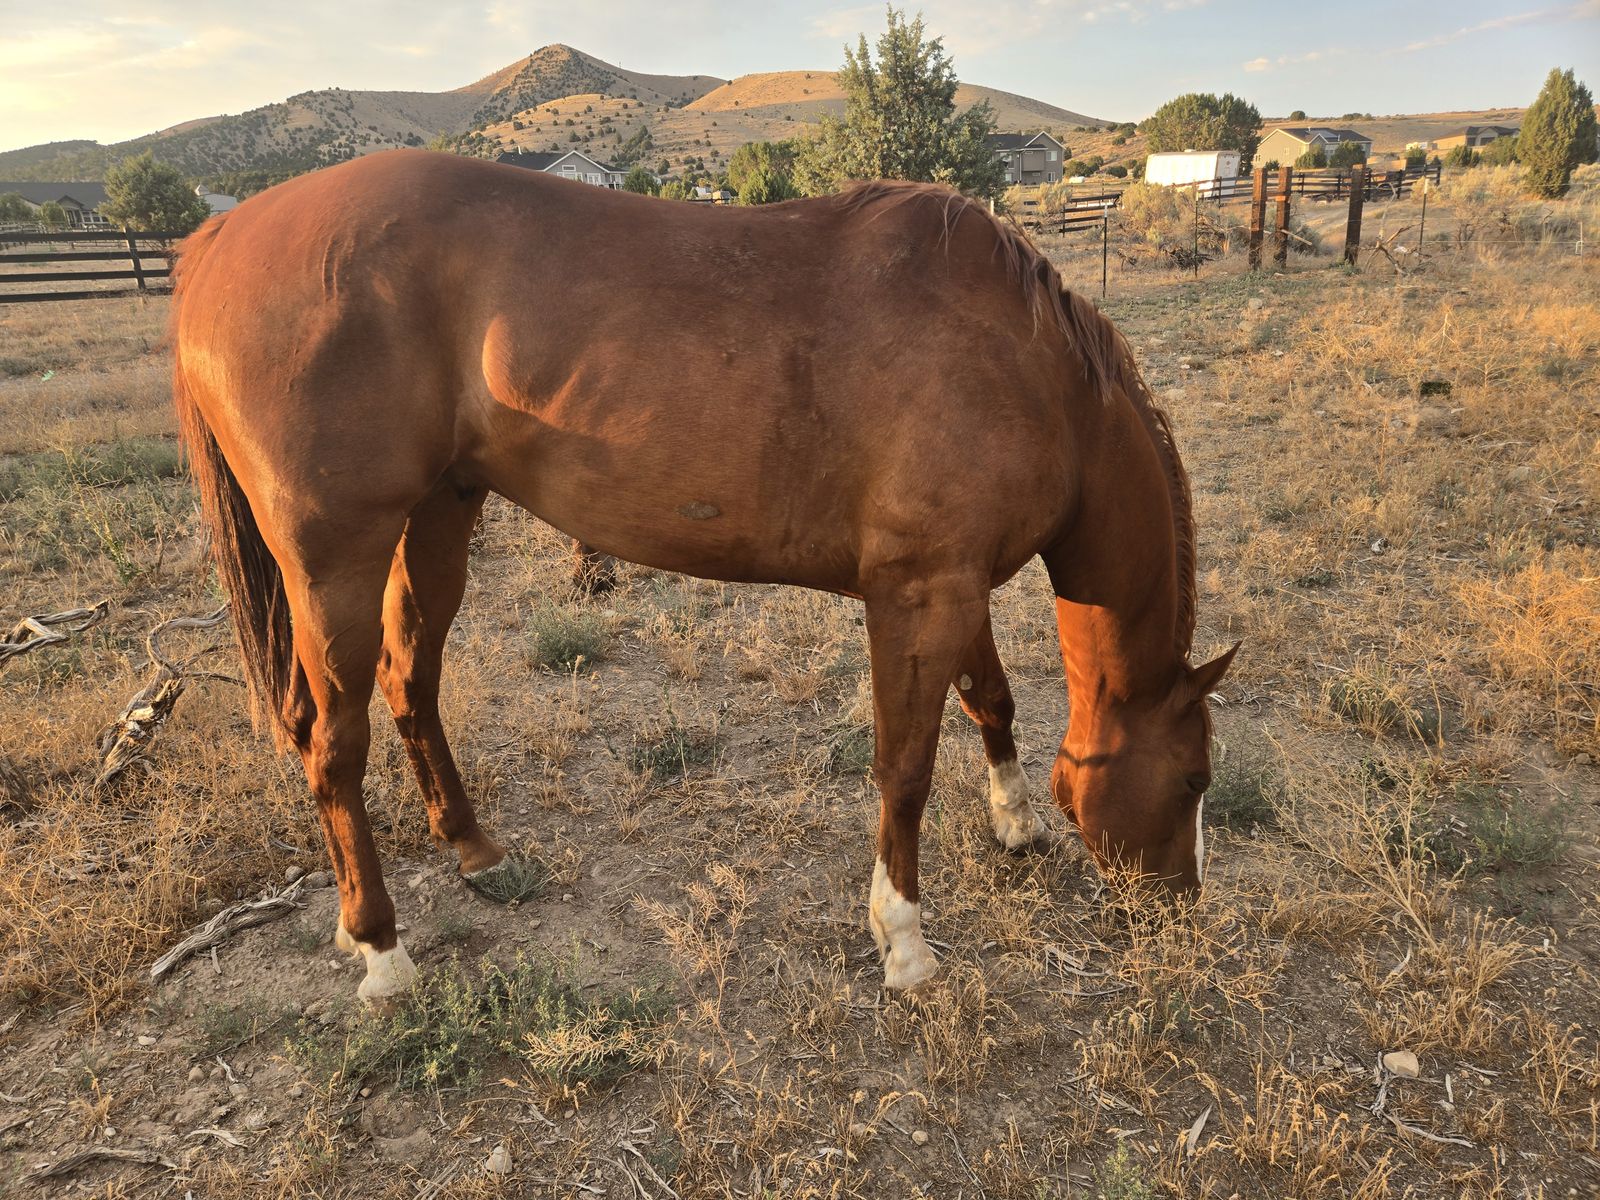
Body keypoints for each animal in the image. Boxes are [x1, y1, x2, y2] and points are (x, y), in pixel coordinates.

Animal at [170, 150, 1236, 1002]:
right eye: (1193, 779)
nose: (1179, 905)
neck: (1029, 368)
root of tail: (219, 237)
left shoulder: (952, 583)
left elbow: (993, 701)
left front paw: (1015, 821)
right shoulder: (920, 594)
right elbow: (904, 768)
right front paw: (904, 941)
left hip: (439, 514)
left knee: (410, 680)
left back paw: (472, 847)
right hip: (333, 560)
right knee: (332, 746)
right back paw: (383, 953)